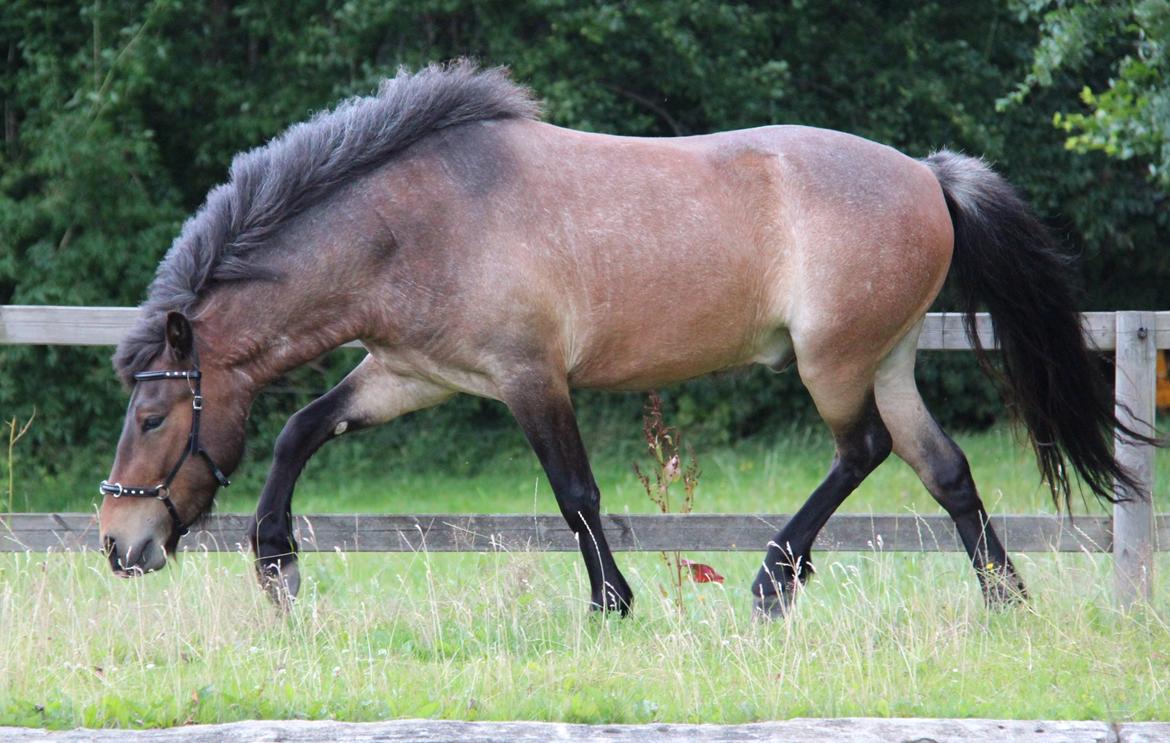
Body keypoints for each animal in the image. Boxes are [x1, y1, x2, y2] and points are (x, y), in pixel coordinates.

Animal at [100, 62, 1151, 617]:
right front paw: (277, 566)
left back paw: (772, 582)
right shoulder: (412, 374)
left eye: (153, 416)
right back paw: (1005, 599)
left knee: (863, 451)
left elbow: (575, 491)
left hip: (836, 362)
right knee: (944, 469)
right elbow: (299, 429)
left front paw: (613, 601)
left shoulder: (529, 377)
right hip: (887, 359)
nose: (118, 542)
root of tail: (928, 175)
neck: (419, 220)